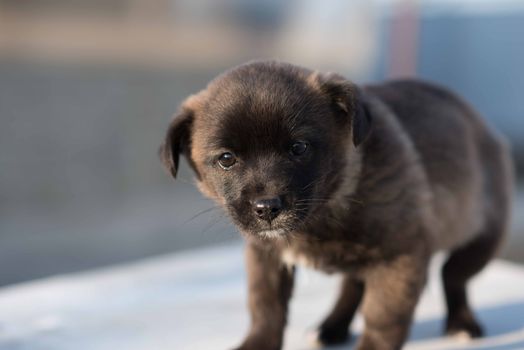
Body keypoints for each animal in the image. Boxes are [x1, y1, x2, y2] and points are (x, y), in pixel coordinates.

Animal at [159, 61, 512, 348]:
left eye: (299, 148)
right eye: (226, 159)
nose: (267, 208)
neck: (325, 208)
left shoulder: (400, 259)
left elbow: (383, 318)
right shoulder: (265, 255)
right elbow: (265, 306)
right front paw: (257, 344)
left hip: (483, 237)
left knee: (454, 275)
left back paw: (461, 323)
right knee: (352, 284)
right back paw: (332, 327)